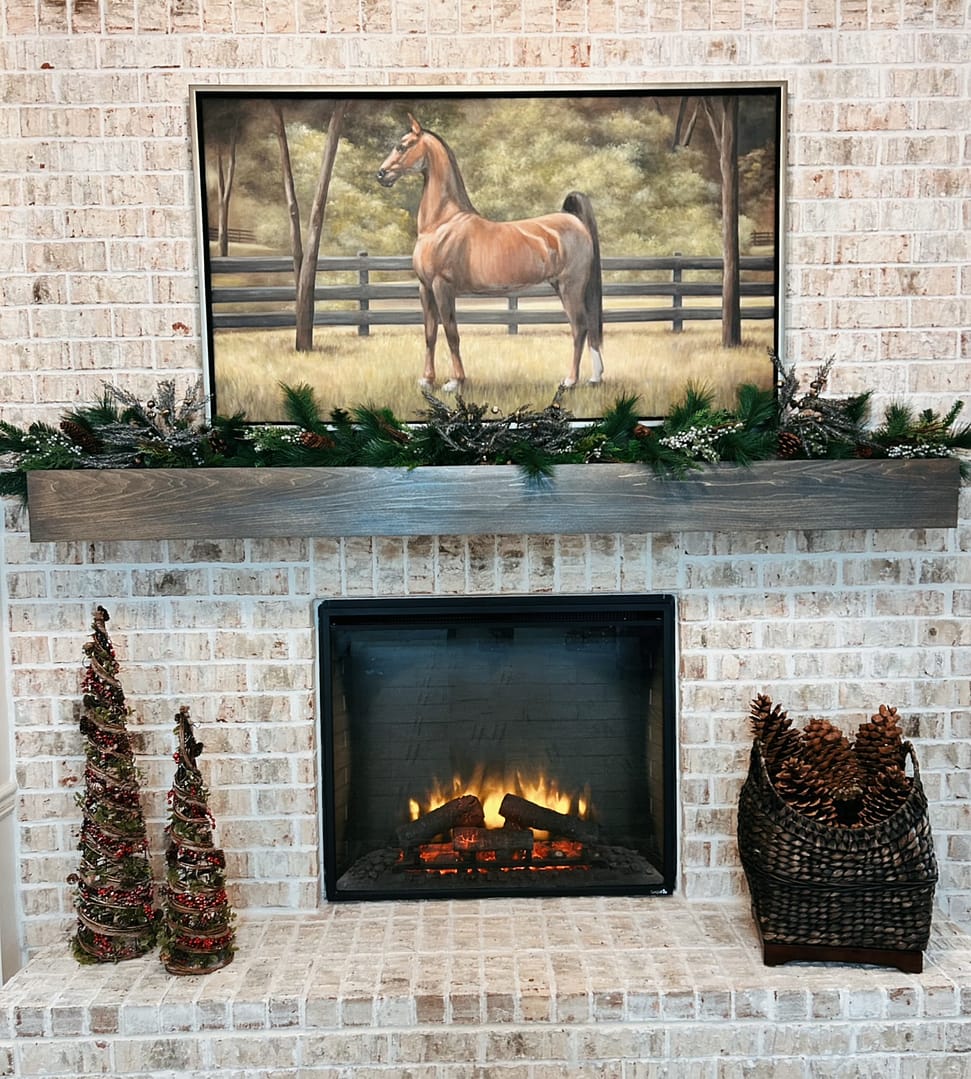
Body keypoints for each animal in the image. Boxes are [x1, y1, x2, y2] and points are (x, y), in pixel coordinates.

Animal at [375, 114, 604, 392]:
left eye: (403, 145)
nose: (381, 174)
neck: (441, 223)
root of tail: (574, 221)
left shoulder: (442, 287)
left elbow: (451, 333)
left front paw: (455, 382)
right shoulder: (425, 288)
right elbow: (430, 333)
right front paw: (427, 381)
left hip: (570, 287)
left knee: (579, 327)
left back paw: (570, 381)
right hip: (563, 287)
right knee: (589, 325)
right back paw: (595, 377)